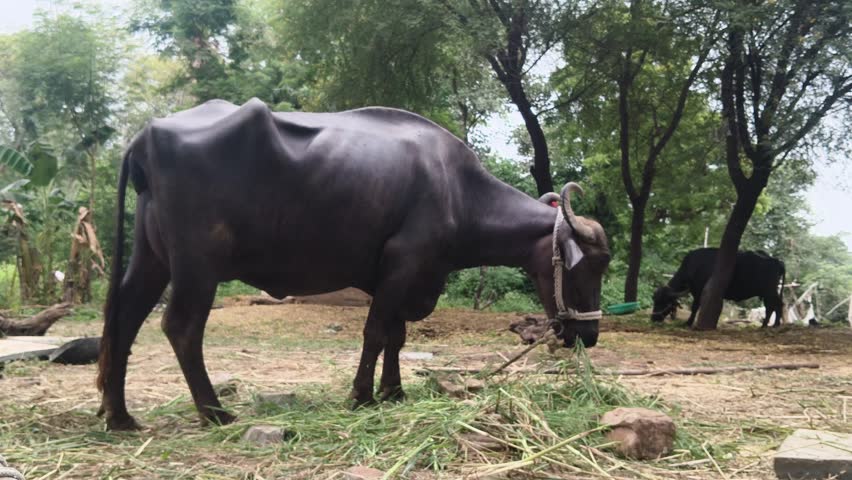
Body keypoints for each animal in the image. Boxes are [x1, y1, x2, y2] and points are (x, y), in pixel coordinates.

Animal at [96, 98, 611, 430]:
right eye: (588, 266)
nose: (588, 334)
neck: (458, 191)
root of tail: (147, 136)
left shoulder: (401, 278)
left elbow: (397, 337)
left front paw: (393, 391)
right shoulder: (403, 266)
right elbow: (377, 332)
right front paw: (362, 395)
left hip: (152, 259)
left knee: (123, 318)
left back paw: (120, 415)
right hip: (198, 266)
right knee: (180, 327)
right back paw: (215, 412)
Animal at [651, 248, 785, 327]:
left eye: (663, 302)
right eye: (655, 300)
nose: (654, 318)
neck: (693, 266)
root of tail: (776, 260)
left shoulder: (698, 291)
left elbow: (695, 307)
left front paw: (688, 322)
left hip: (770, 291)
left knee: (776, 305)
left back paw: (773, 324)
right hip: (767, 293)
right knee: (772, 306)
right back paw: (767, 324)